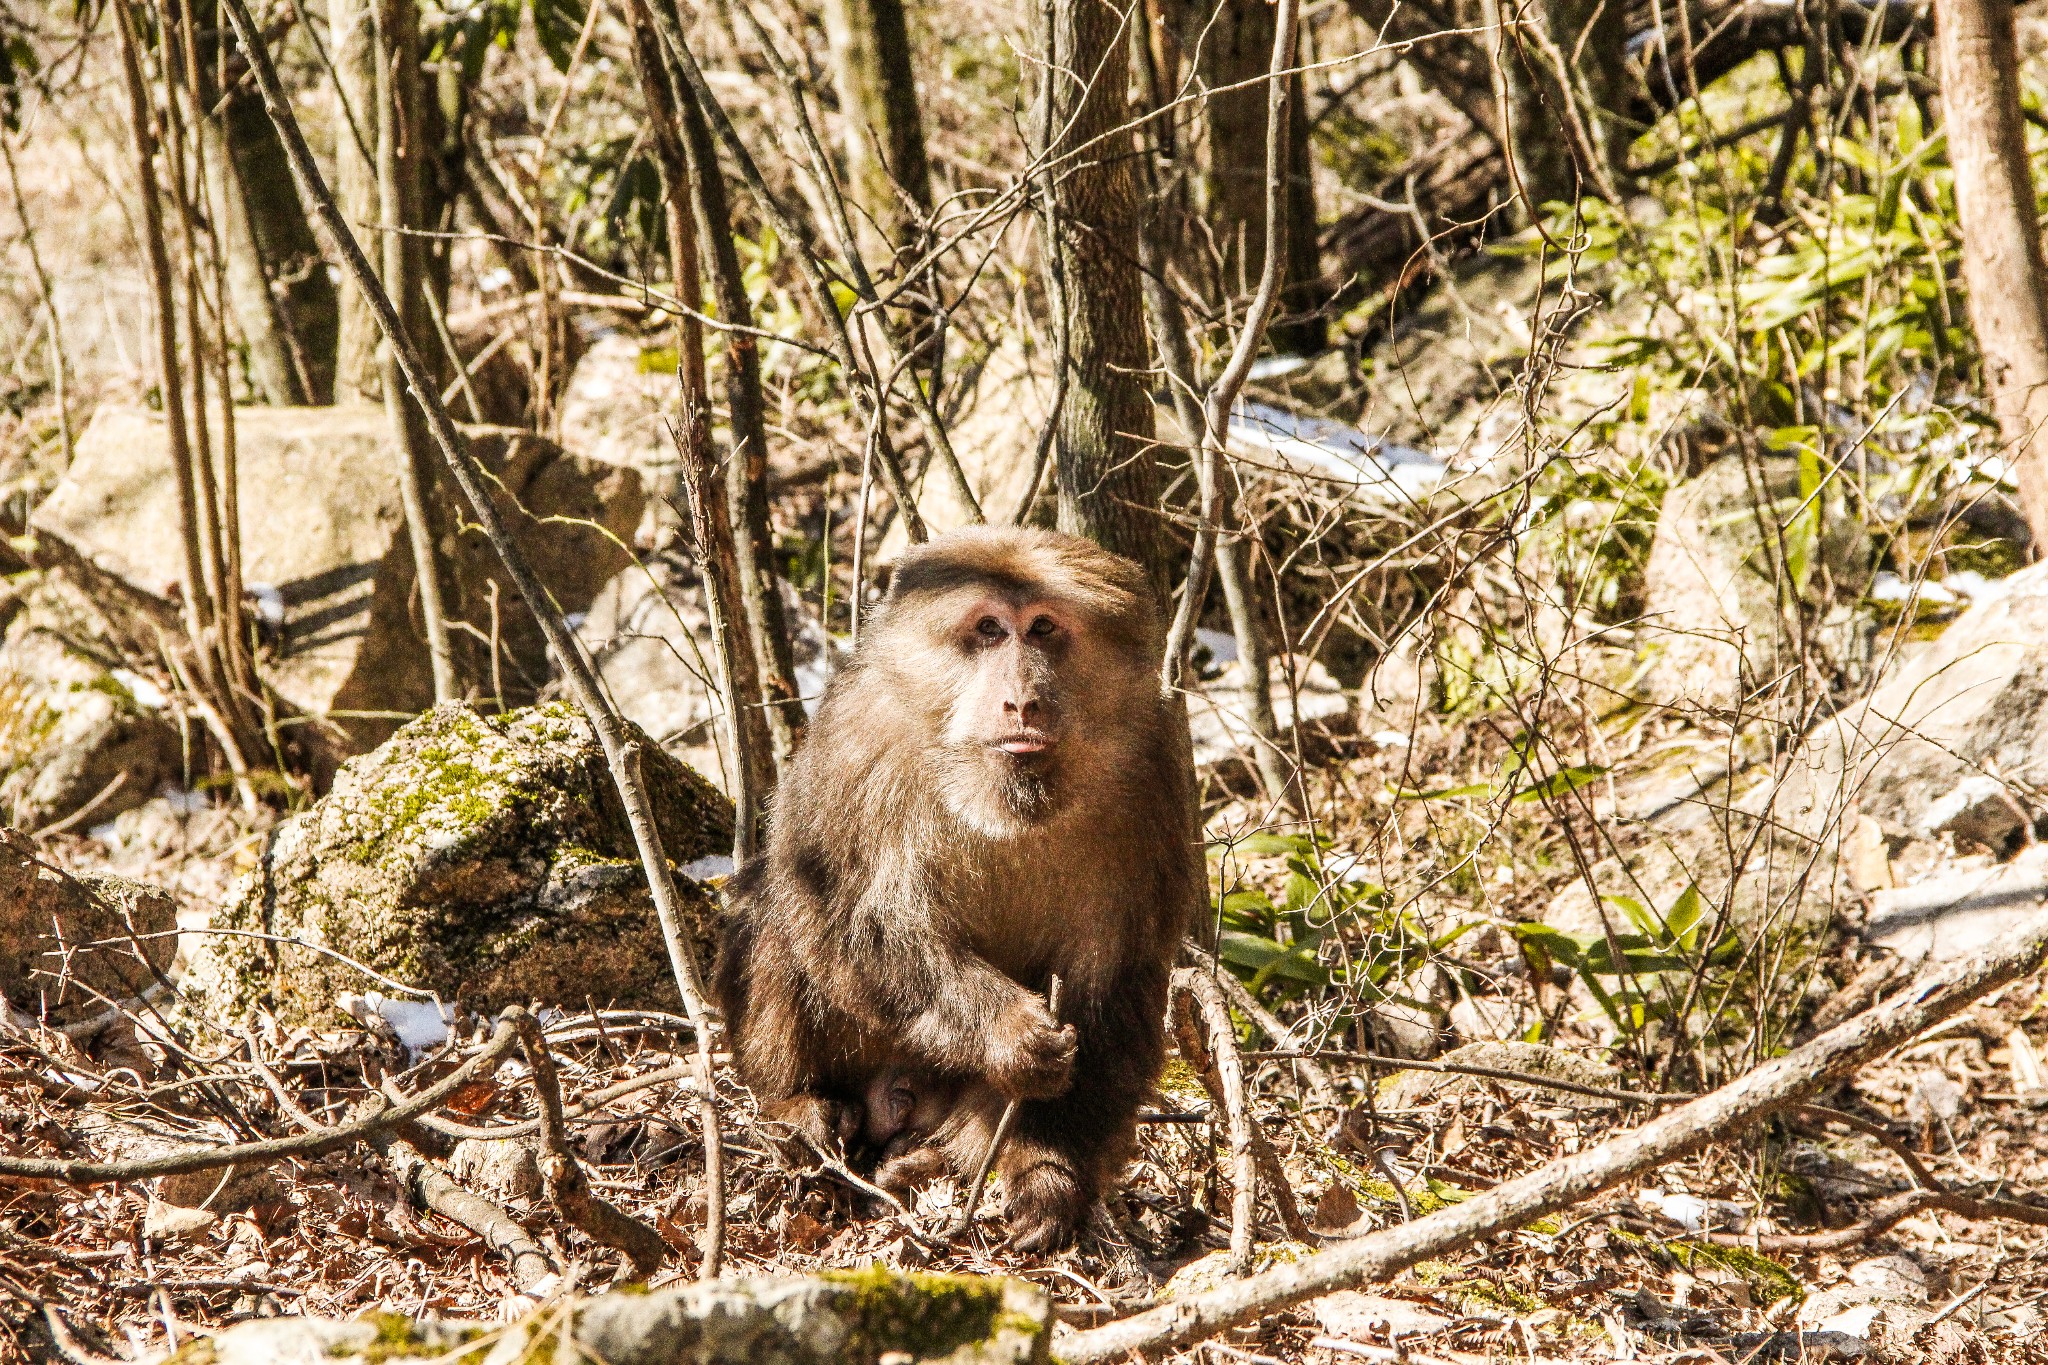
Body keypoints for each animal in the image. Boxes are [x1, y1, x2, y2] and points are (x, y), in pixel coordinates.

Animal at [716, 527, 1204, 1252]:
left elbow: (1113, 987)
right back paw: (795, 1105)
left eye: (1045, 628)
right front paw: (1010, 1032)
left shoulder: (1154, 775)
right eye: (989, 628)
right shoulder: (859, 742)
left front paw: (1048, 1171)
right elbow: (842, 917)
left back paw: (931, 1160)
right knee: (779, 909)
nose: (1022, 700)